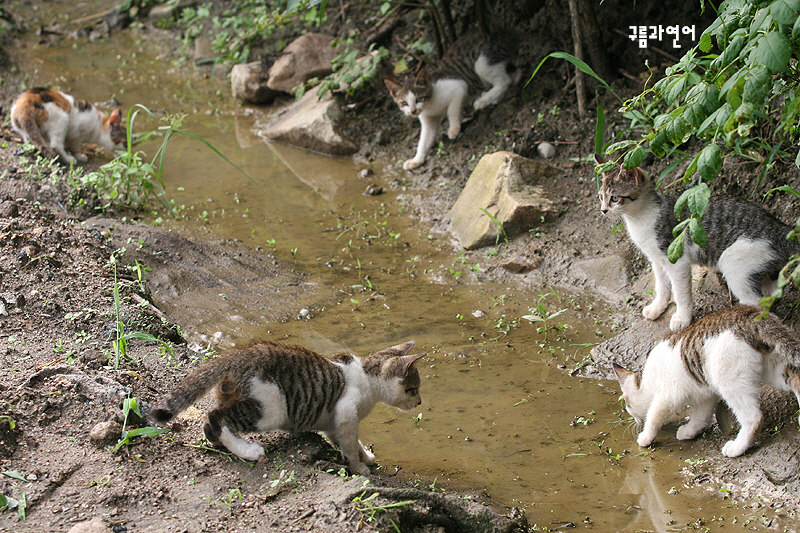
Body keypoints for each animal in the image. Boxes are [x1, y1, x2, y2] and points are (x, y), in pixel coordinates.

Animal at [150, 340, 424, 474]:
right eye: (414, 389)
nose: (420, 401)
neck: (367, 377)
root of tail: (239, 355)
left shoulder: (333, 422)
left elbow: (349, 441)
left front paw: (366, 456)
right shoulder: (346, 413)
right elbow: (349, 444)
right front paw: (359, 467)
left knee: (211, 424)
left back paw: (223, 445)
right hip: (269, 407)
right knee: (217, 416)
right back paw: (248, 451)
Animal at [386, 32, 520, 169]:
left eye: (419, 99)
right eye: (404, 103)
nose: (413, 111)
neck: (430, 105)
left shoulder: (458, 87)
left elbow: (453, 110)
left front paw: (453, 129)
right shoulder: (428, 118)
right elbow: (424, 139)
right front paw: (416, 160)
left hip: (482, 63)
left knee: (504, 81)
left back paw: (482, 100)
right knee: (514, 76)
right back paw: (492, 98)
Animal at [596, 152, 796, 330]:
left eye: (615, 198)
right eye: (601, 196)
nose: (603, 210)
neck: (639, 217)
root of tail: (780, 228)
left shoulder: (676, 260)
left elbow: (681, 294)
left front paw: (682, 318)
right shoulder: (656, 260)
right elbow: (662, 286)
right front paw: (657, 308)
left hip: (733, 260)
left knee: (755, 302)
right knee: (770, 292)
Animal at [612, 304, 800, 458]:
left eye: (627, 404)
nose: (635, 421)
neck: (649, 378)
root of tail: (750, 313)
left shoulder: (668, 396)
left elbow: (654, 416)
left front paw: (645, 437)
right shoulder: (707, 395)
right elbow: (700, 417)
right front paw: (689, 431)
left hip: (729, 378)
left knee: (754, 417)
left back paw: (737, 448)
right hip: (773, 365)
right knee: (795, 378)